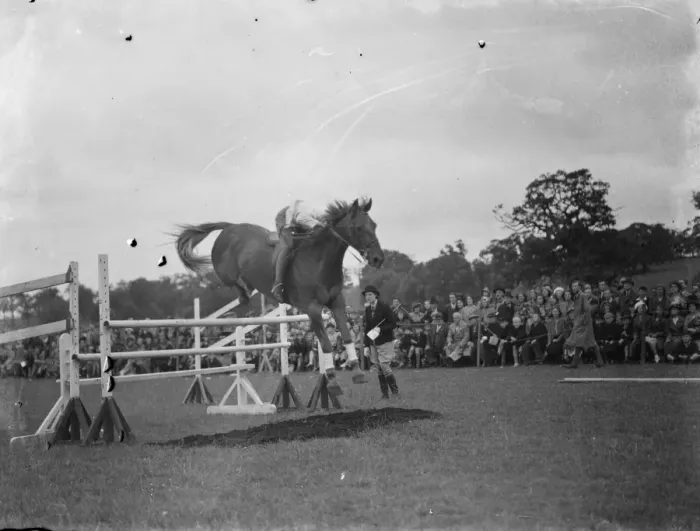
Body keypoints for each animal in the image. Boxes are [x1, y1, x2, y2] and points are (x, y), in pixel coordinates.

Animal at [172, 198, 385, 395]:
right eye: (358, 228)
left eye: (374, 226)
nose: (378, 259)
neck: (319, 261)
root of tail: (229, 227)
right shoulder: (312, 309)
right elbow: (325, 344)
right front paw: (332, 382)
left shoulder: (336, 302)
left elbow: (347, 336)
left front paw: (357, 372)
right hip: (225, 272)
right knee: (227, 281)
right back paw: (241, 295)